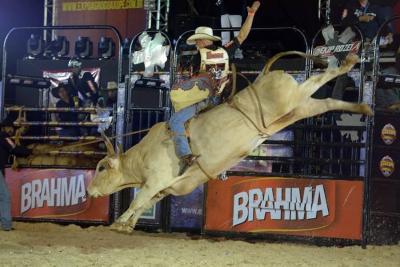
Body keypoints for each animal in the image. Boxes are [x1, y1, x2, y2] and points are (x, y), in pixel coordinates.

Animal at [86, 51, 372, 233]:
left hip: (291, 99)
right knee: (327, 102)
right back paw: (363, 106)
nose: (89, 191)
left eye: (100, 168)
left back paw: (348, 64)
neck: (141, 155)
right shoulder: (166, 188)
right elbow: (146, 203)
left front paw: (119, 222)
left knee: (319, 79)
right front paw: (128, 225)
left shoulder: (156, 180)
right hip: (298, 108)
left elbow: (138, 201)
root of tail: (262, 76)